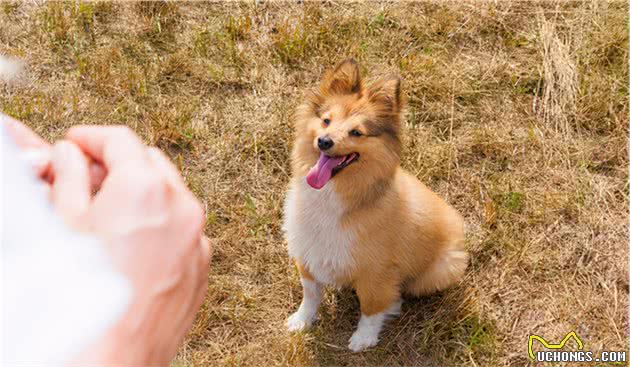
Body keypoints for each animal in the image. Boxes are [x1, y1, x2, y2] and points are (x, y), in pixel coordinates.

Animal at [282, 59, 470, 352]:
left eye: (356, 132)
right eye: (326, 120)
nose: (324, 141)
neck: (335, 195)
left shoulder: (376, 271)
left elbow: (371, 308)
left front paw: (363, 339)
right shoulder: (308, 252)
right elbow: (310, 294)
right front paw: (302, 321)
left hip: (443, 268)